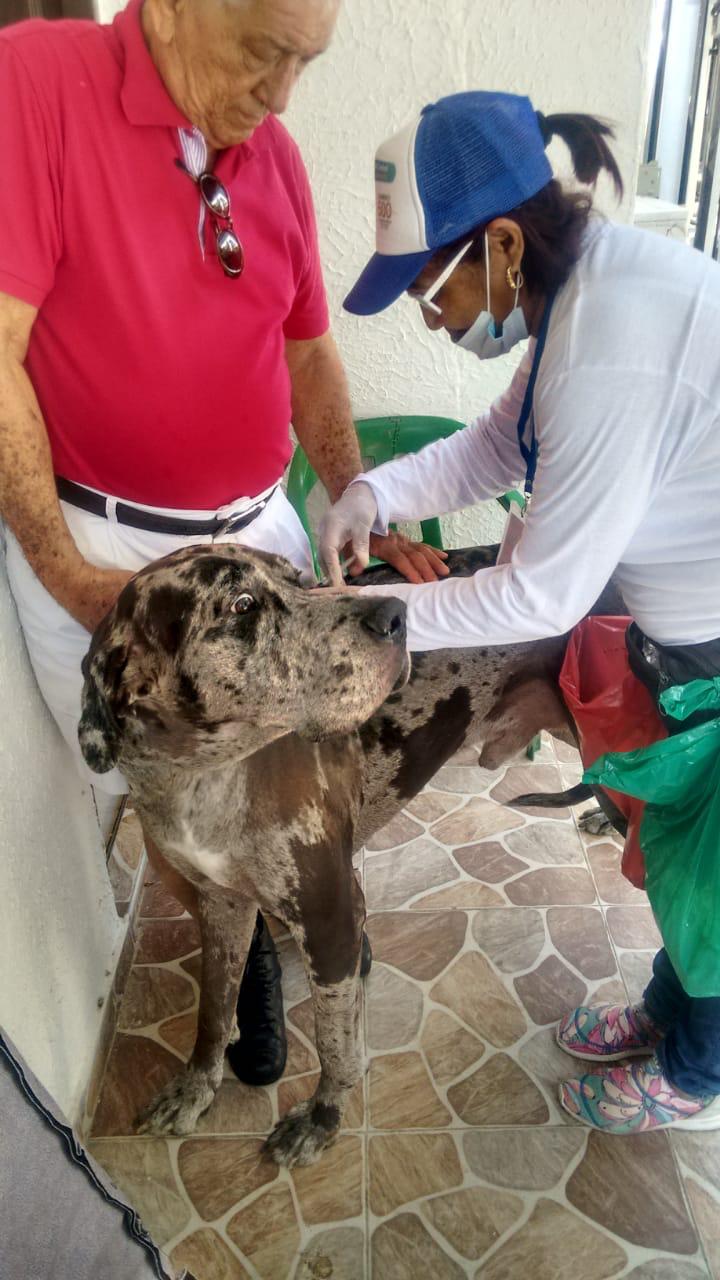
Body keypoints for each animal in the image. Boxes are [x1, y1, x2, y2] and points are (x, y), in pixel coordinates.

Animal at [79, 545, 617, 1167]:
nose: (395, 614)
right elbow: (213, 1012)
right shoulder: (220, 905)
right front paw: (195, 1087)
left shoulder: (330, 920)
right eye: (242, 605)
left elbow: (335, 1043)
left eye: (299, 578)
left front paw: (322, 1119)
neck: (203, 778)